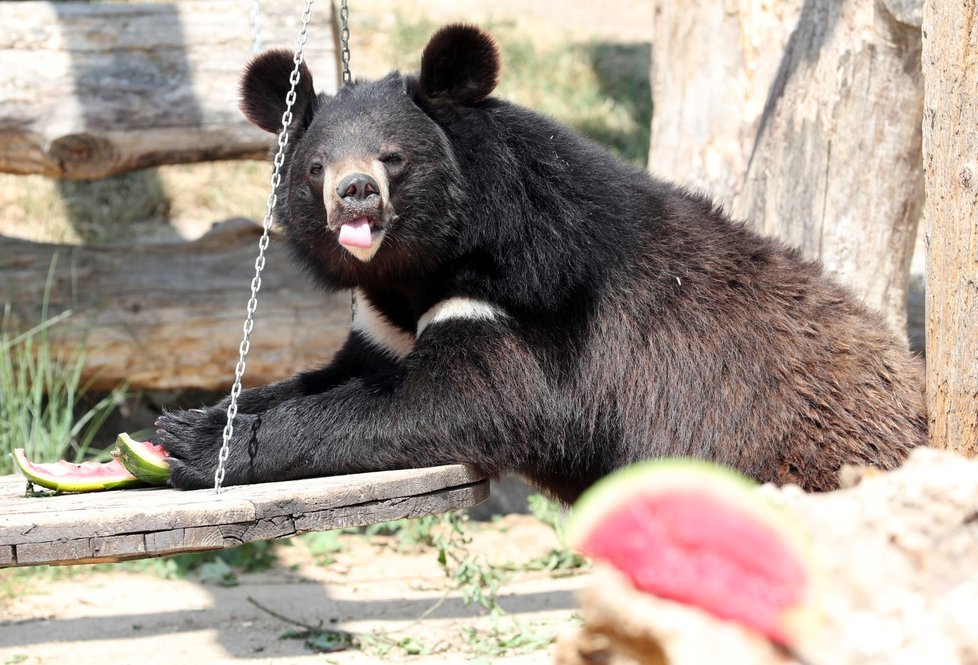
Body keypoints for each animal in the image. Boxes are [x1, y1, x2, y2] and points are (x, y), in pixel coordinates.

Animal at [156, 24, 928, 504]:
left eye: (392, 158)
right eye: (315, 166)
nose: (354, 193)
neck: (427, 265)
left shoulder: (528, 308)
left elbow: (452, 400)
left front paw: (198, 443)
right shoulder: (384, 323)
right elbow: (332, 375)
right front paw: (184, 420)